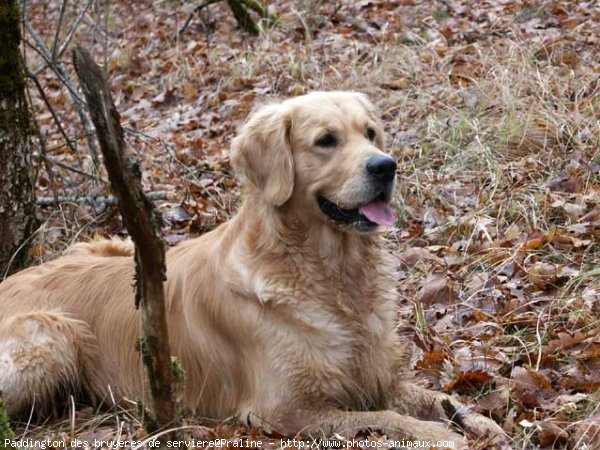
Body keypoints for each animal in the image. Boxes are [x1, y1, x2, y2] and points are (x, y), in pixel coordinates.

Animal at [0, 93, 502, 448]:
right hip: (51, 335)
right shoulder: (281, 409)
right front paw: (439, 436)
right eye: (326, 140)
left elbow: (438, 396)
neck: (332, 274)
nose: (386, 166)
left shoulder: (381, 378)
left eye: (371, 133)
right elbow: (385, 420)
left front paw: (479, 421)